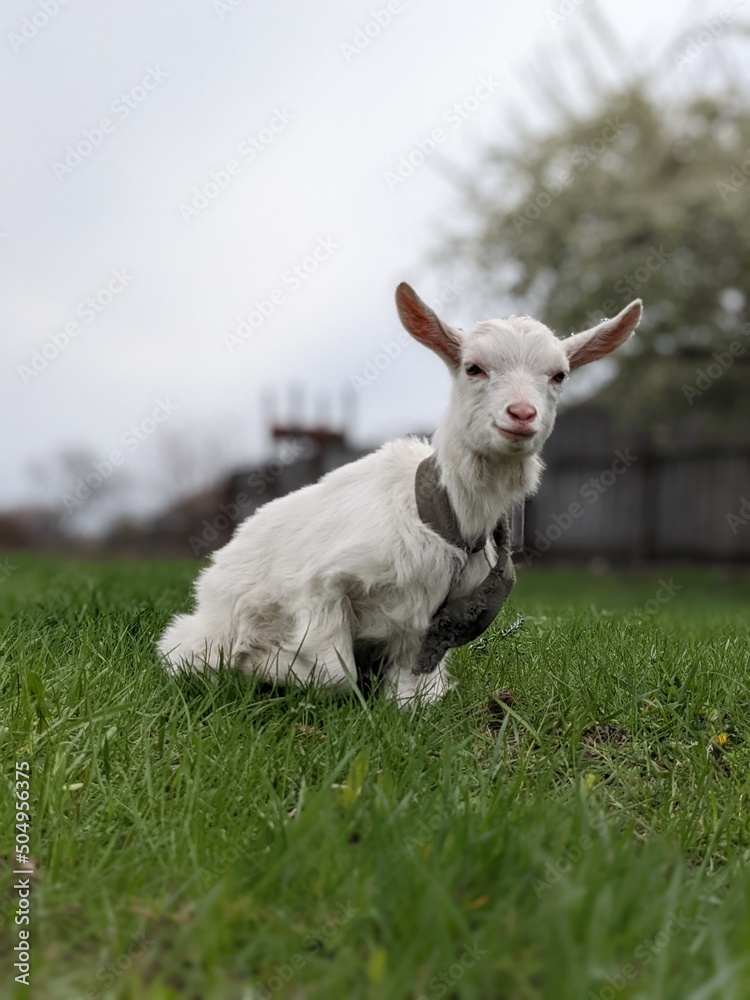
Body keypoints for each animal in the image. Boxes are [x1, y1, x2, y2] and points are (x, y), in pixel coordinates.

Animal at [158, 284, 642, 703]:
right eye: (473, 367)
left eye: (559, 375)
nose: (521, 414)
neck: (445, 517)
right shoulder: (320, 585)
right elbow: (333, 674)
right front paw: (262, 664)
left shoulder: (425, 625)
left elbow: (416, 694)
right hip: (206, 630)